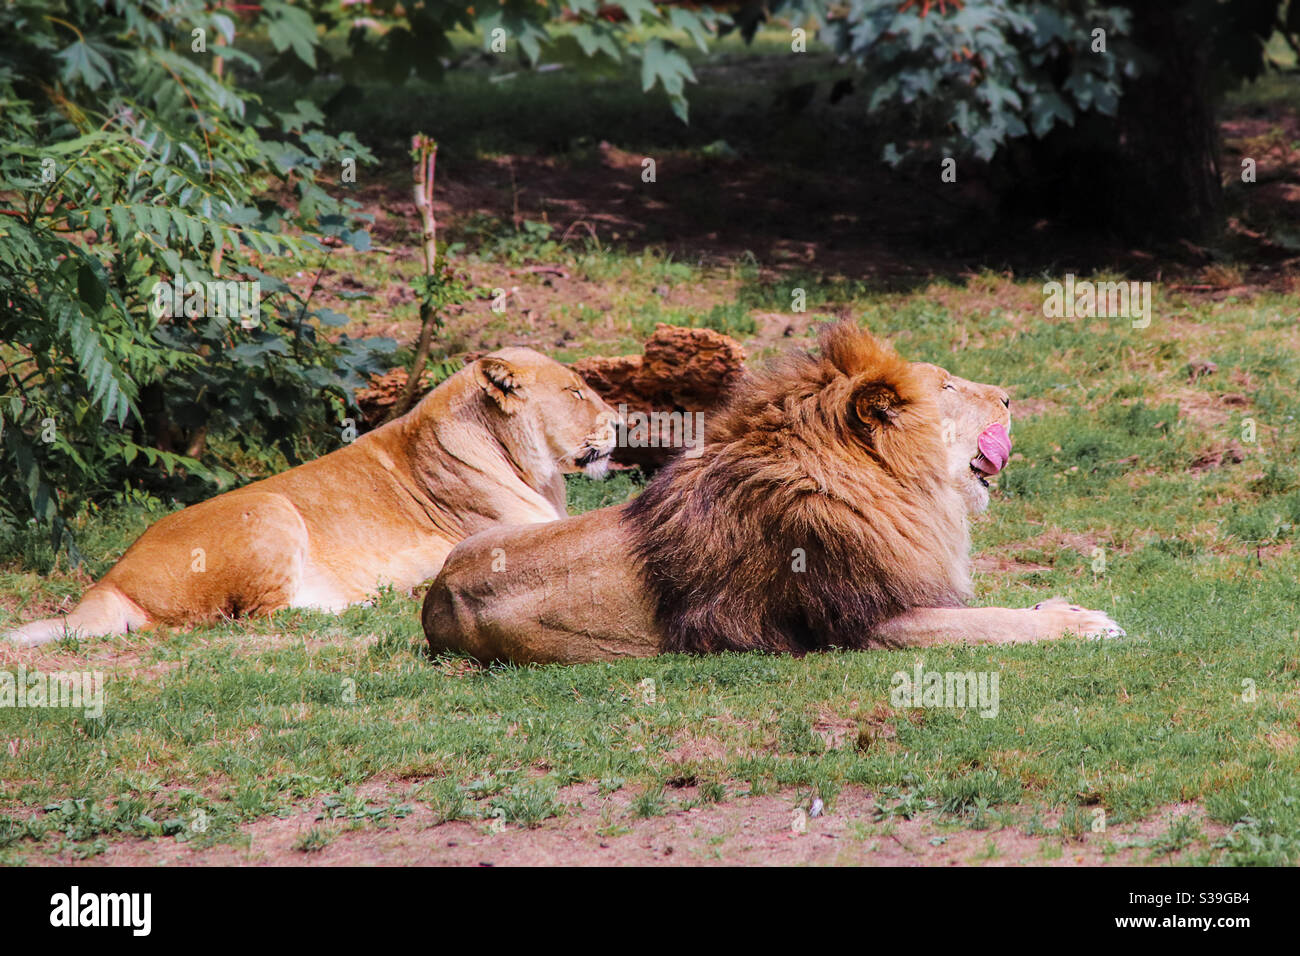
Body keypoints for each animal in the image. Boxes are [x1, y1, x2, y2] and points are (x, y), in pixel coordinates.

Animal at [5, 351, 616, 650]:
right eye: (575, 392)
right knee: (254, 617)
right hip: (272, 510)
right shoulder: (511, 533)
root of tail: (109, 580)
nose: (621, 421)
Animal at [421, 323, 1123, 665]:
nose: (1007, 396)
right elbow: (987, 623)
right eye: (948, 386)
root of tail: (432, 600)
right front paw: (1081, 622)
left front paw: (1057, 605)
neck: (898, 489)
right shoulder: (865, 624)